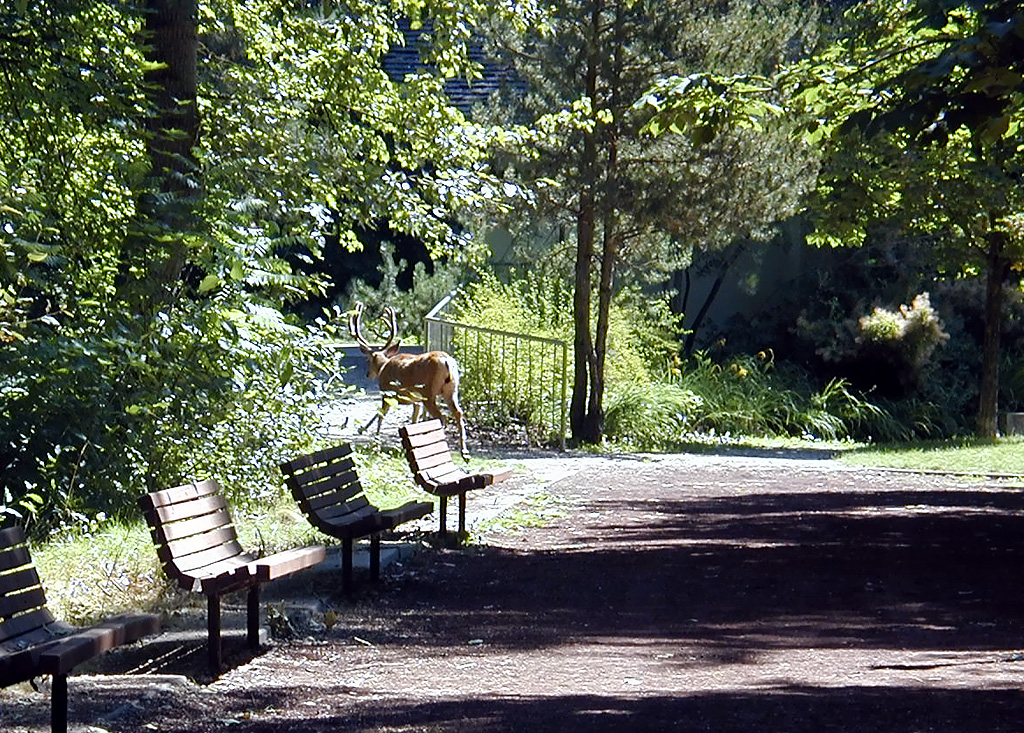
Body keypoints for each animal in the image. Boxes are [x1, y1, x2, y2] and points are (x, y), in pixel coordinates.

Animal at [348, 302, 468, 458]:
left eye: (367, 359)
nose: (368, 374)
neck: (384, 366)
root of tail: (447, 361)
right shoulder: (415, 400)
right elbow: (413, 420)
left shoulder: (387, 392)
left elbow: (380, 415)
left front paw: (373, 439)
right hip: (451, 390)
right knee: (458, 413)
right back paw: (464, 452)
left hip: (428, 392)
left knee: (442, 417)